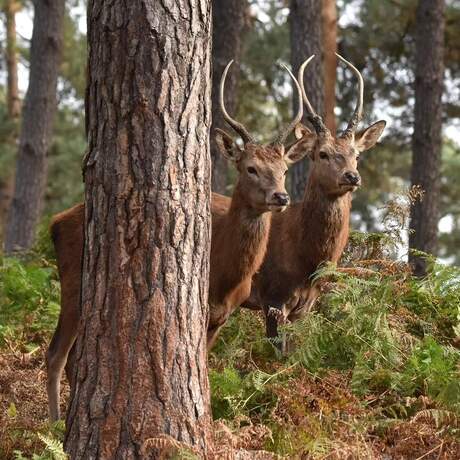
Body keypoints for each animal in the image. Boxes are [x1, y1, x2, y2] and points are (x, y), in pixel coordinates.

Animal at [45, 58, 310, 420]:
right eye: (250, 168)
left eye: (283, 169)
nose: (280, 196)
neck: (224, 276)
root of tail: (55, 222)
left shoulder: (223, 315)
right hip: (73, 283)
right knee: (55, 354)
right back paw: (53, 423)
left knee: (71, 358)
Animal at [217, 54, 386, 346]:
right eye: (322, 154)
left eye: (356, 154)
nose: (352, 176)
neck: (306, 262)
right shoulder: (272, 296)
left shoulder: (306, 305)